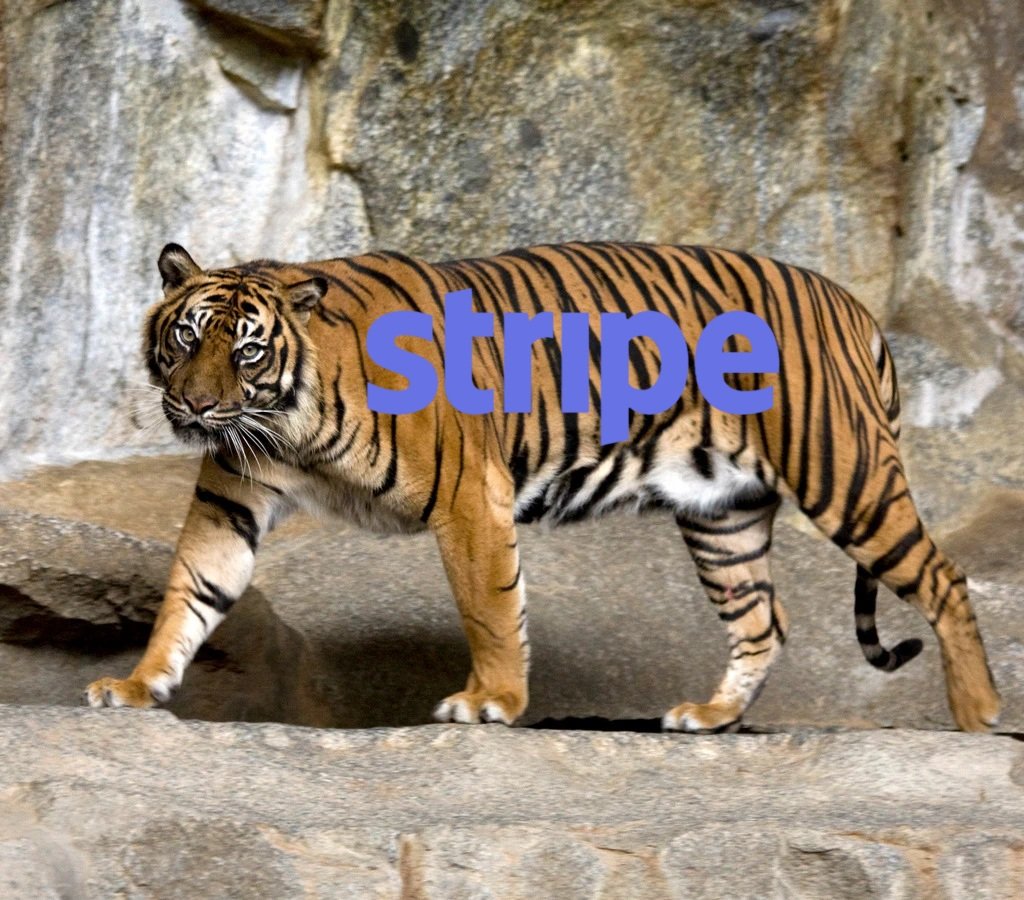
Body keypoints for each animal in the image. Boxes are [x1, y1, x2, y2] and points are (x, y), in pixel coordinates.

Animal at [85, 241, 1000, 733]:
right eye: (186, 338)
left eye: (245, 350)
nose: (195, 406)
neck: (287, 424)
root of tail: (851, 303)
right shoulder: (231, 499)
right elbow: (190, 593)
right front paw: (136, 686)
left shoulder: (468, 495)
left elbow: (490, 607)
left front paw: (491, 700)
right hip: (724, 514)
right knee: (761, 623)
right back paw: (709, 718)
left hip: (844, 473)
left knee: (944, 579)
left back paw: (978, 715)